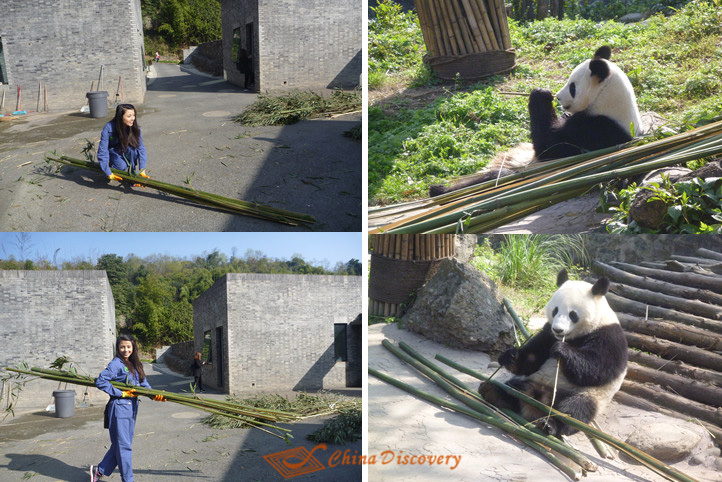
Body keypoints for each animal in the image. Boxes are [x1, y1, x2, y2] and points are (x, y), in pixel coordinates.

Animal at [428, 45, 640, 196]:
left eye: (572, 87)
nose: (558, 98)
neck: (606, 100)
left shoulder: (598, 130)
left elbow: (550, 145)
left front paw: (541, 94)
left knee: (494, 178)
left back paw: (439, 189)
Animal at [480, 270, 628, 438]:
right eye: (555, 310)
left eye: (573, 314)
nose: (558, 329)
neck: (574, 336)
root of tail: (537, 406)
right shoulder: (547, 333)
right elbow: (532, 358)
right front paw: (509, 356)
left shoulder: (609, 335)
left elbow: (598, 369)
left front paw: (561, 350)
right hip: (531, 381)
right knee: (513, 388)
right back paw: (493, 392)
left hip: (588, 395)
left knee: (574, 411)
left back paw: (549, 424)